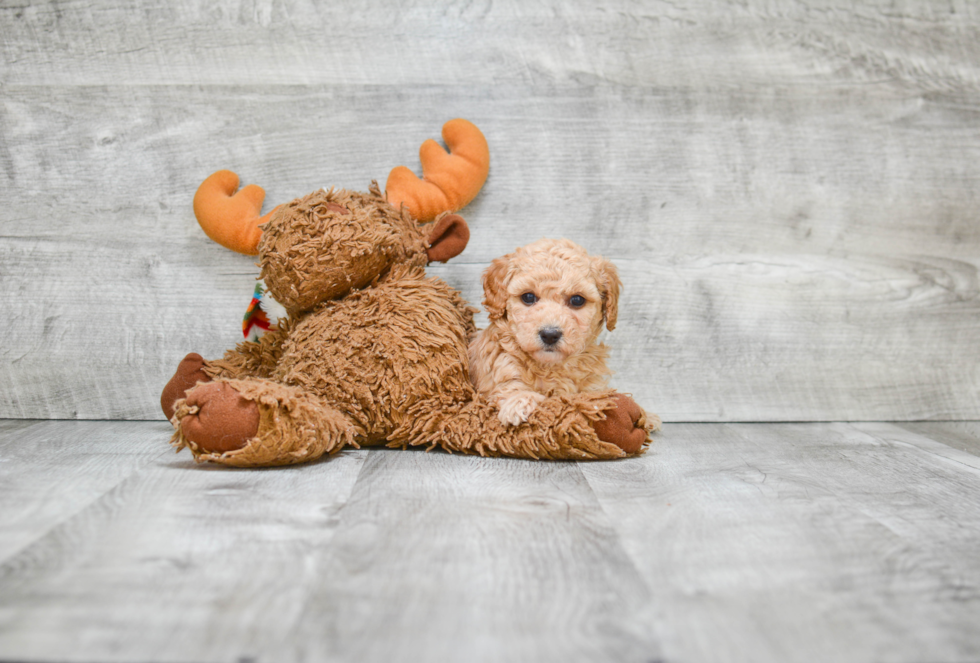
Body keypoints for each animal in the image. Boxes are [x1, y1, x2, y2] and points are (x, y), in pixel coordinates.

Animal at [468, 239, 620, 426]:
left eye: (577, 300)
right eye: (528, 297)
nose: (549, 335)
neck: (550, 367)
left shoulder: (592, 385)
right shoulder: (503, 367)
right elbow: (511, 387)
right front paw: (519, 401)